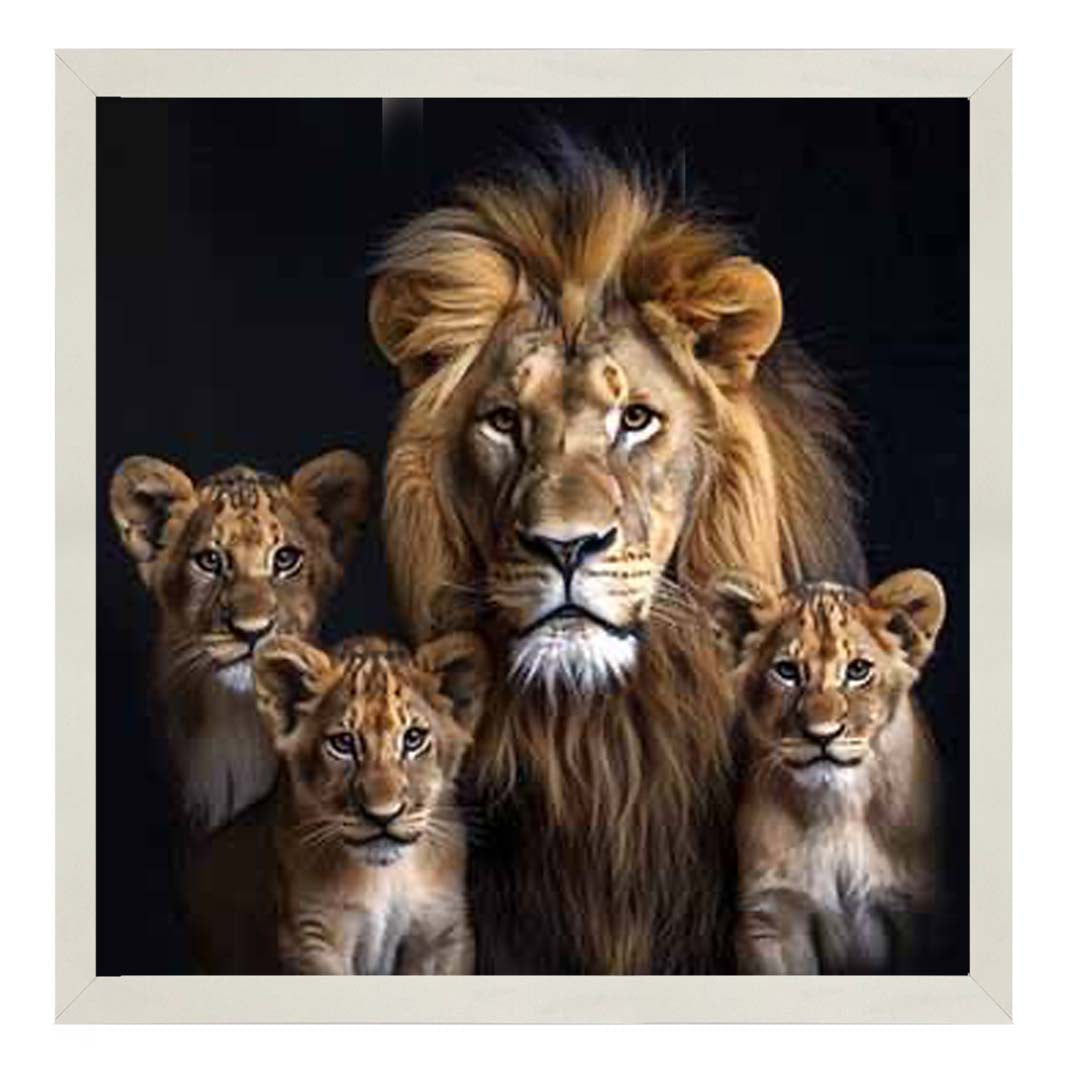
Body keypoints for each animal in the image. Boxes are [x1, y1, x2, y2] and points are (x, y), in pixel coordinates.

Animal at [710, 569, 946, 974]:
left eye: (858, 670)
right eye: (786, 671)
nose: (822, 735)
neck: (837, 808)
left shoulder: (918, 910)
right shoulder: (773, 917)